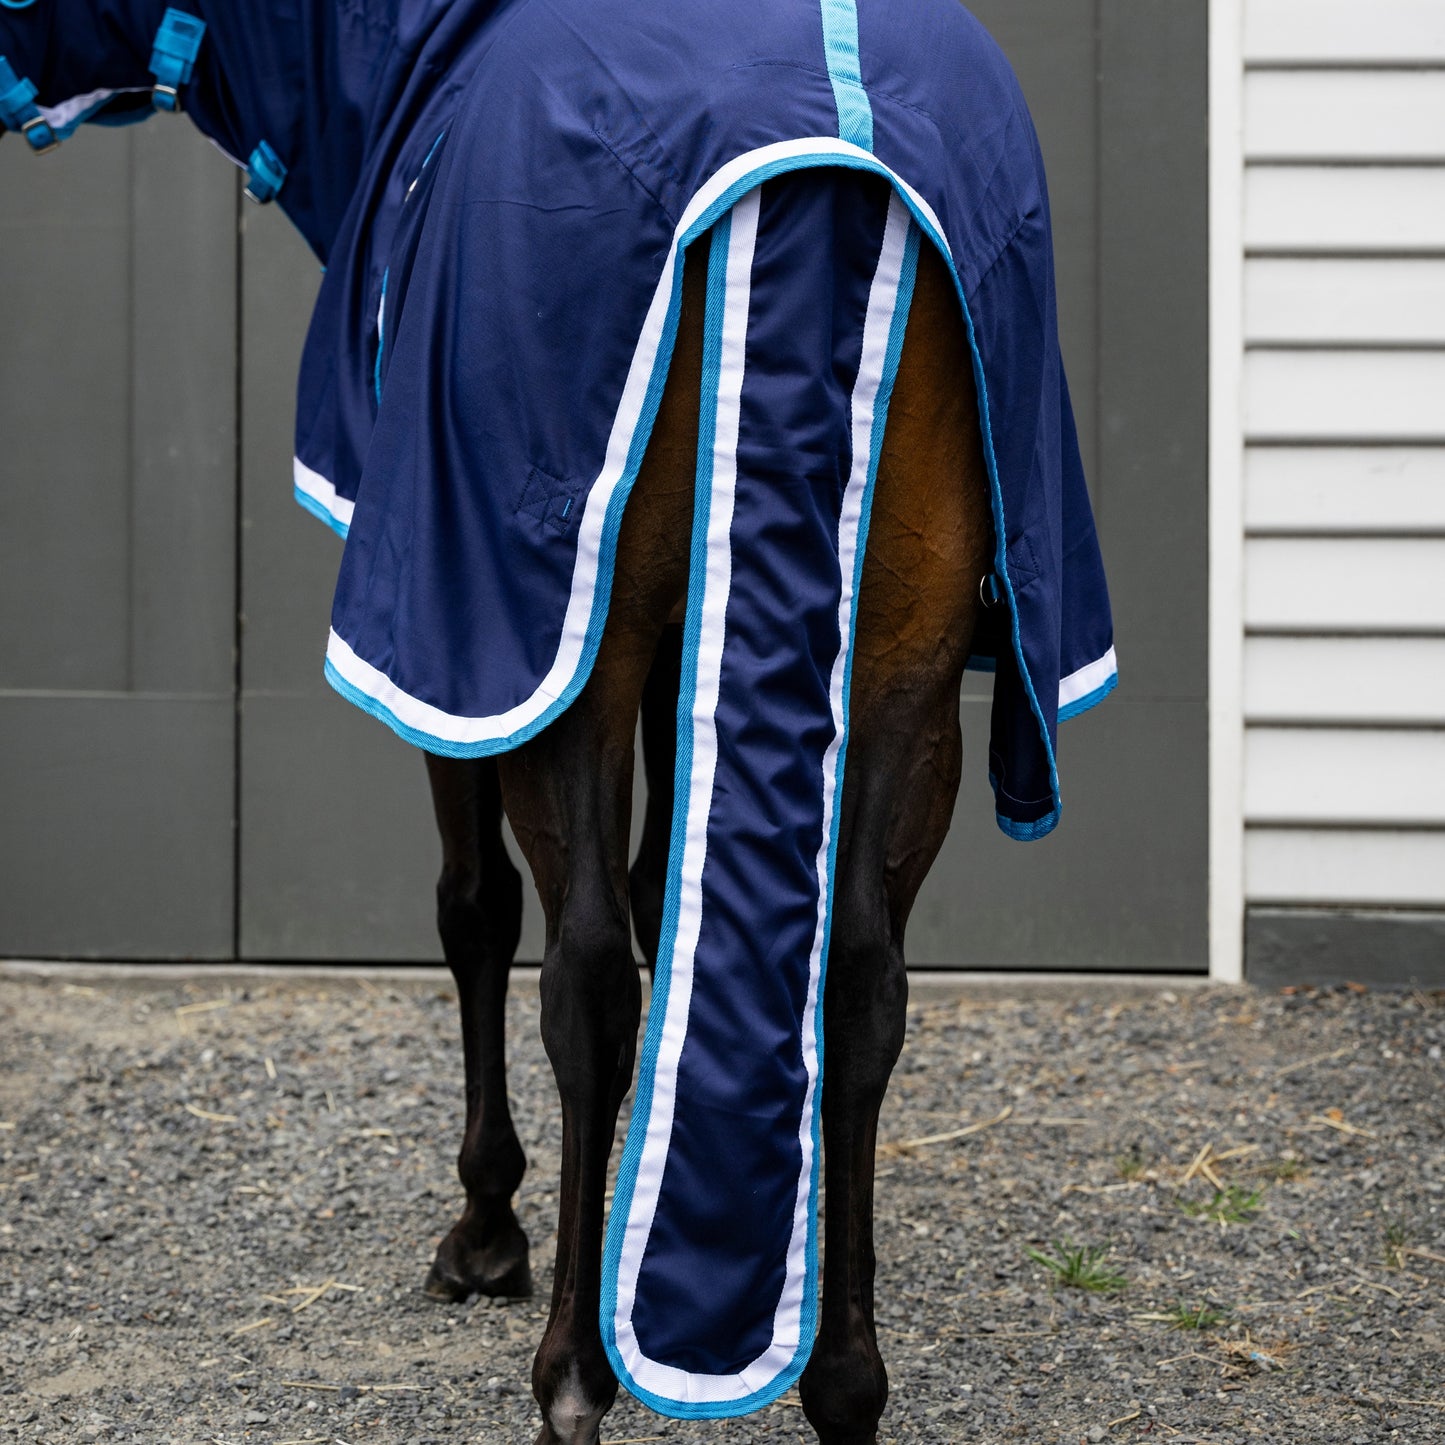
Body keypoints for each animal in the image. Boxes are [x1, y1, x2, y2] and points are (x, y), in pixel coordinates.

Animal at [1, 3, 1114, 1441]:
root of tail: (831, 144)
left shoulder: (481, 643)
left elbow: (480, 911)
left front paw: (489, 1230)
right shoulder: (690, 649)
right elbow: (666, 897)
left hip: (570, 649)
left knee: (582, 974)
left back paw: (574, 1373)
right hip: (904, 667)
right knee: (860, 979)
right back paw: (842, 1385)